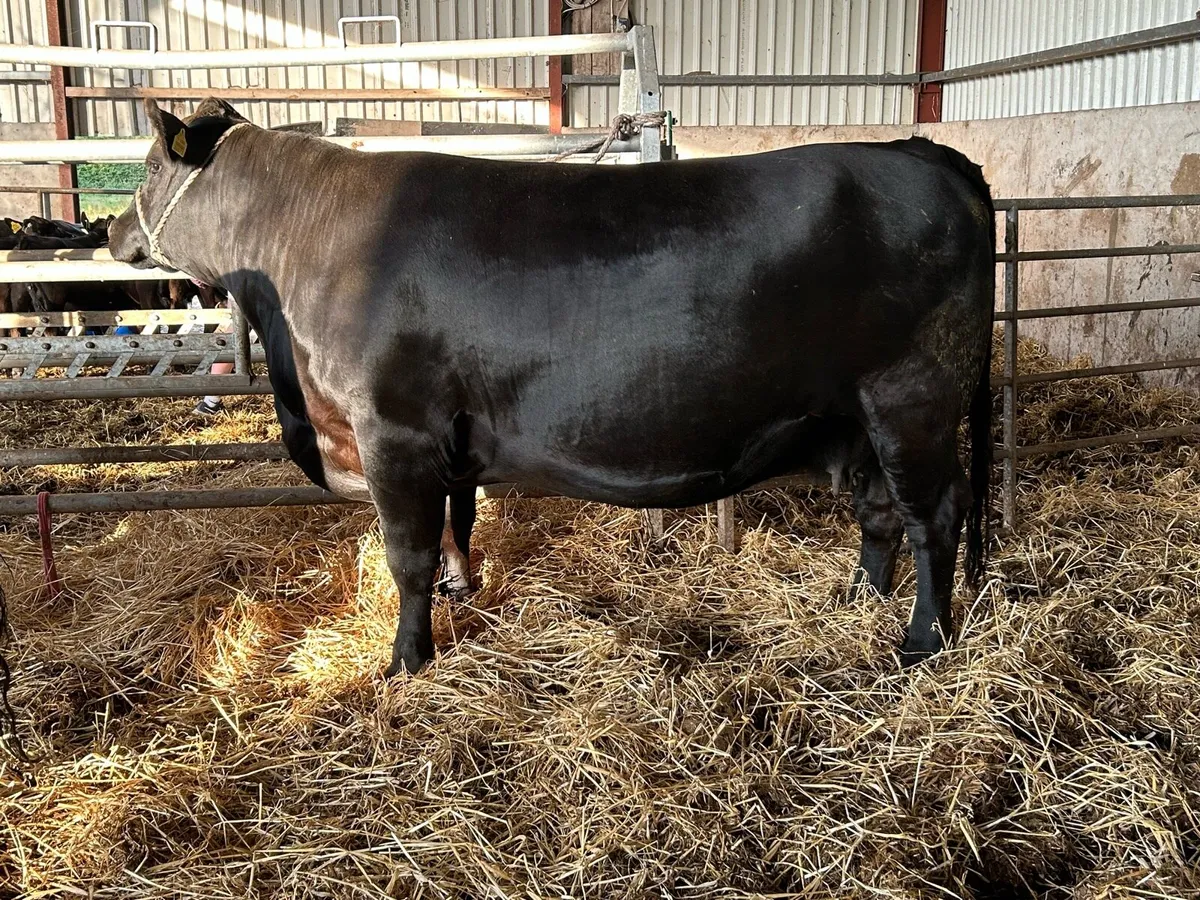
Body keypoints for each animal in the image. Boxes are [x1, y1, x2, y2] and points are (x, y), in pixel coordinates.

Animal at [110, 98, 995, 678]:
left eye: (148, 165)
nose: (108, 229)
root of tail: (919, 151)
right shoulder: (446, 437)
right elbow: (458, 525)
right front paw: (462, 595)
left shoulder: (392, 429)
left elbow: (406, 554)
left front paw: (405, 661)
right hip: (862, 412)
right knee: (880, 510)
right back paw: (858, 599)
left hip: (912, 395)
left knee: (934, 513)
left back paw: (921, 641)